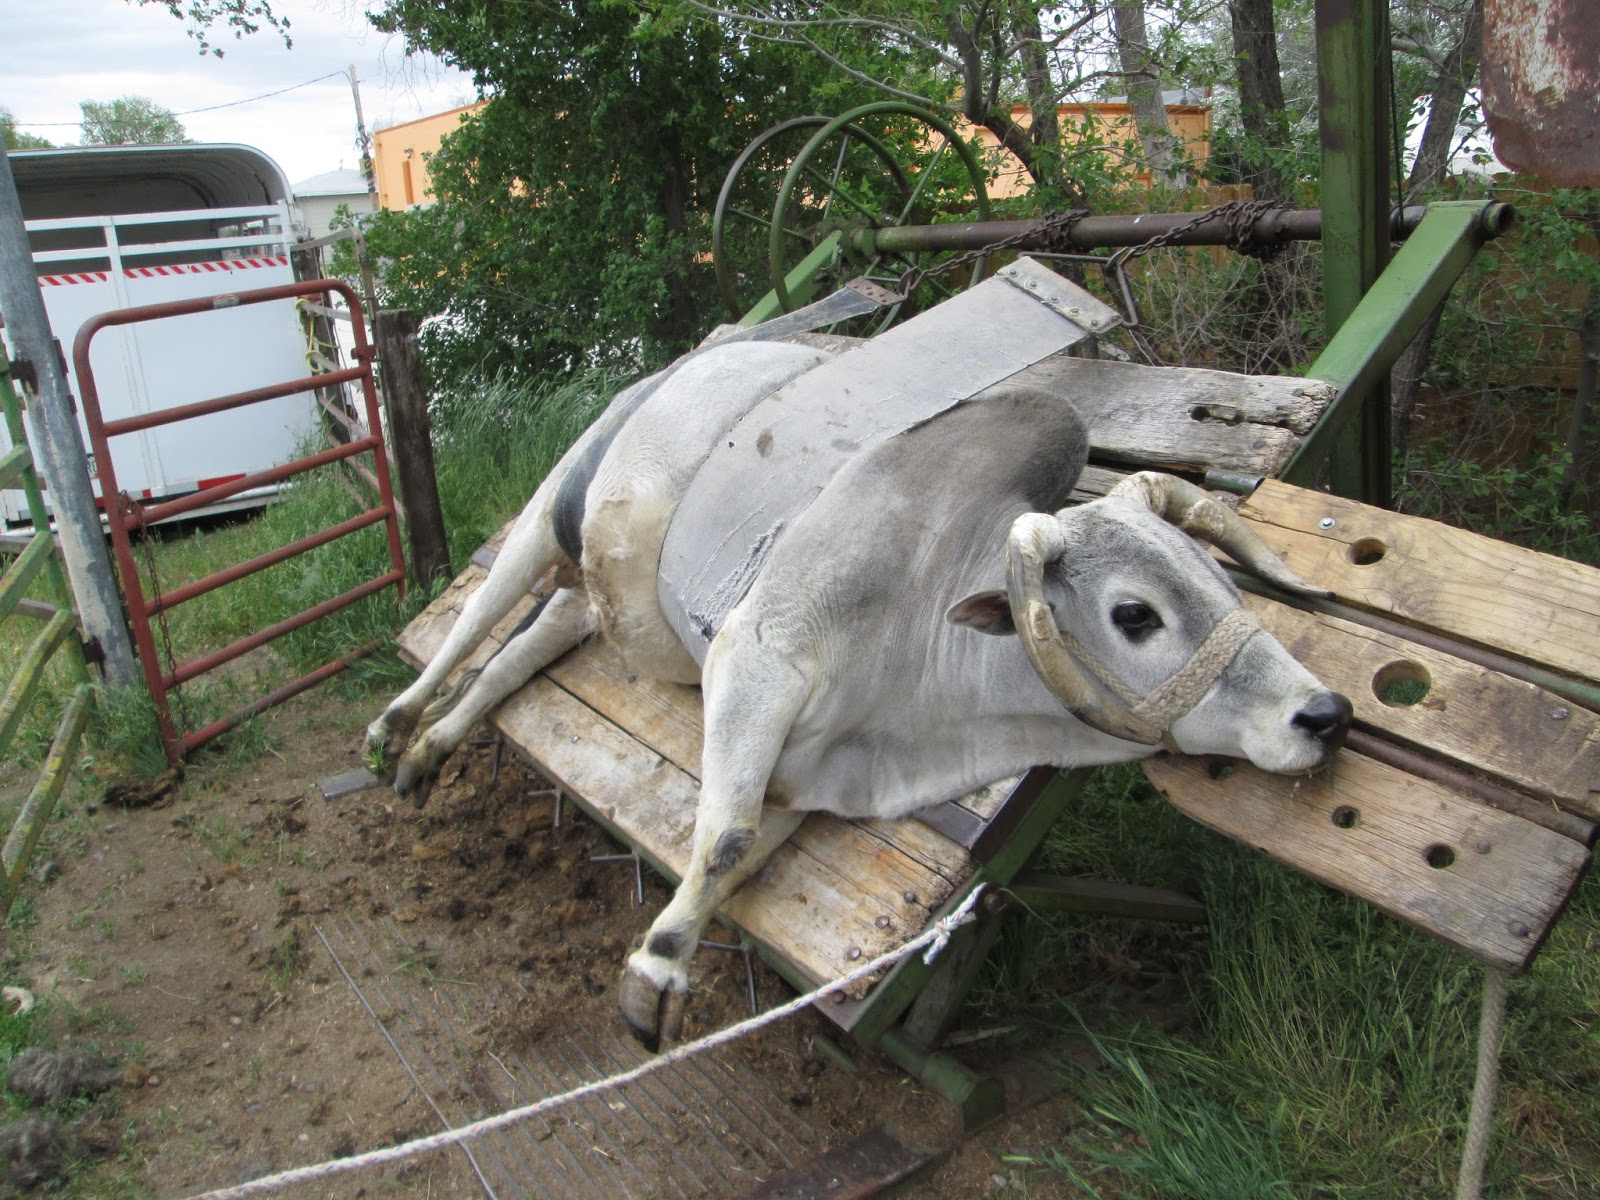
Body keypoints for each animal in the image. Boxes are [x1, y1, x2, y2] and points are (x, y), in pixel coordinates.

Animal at [365, 337, 1353, 1049]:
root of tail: (709, 350)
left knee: (511, 659)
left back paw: (430, 748)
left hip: (597, 601)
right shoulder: (756, 659)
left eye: (1219, 579)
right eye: (1136, 614)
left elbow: (738, 850)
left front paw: (664, 953)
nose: (1326, 713)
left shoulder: (803, 781)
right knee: (473, 620)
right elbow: (722, 837)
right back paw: (393, 726)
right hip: (552, 508)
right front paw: (656, 980)